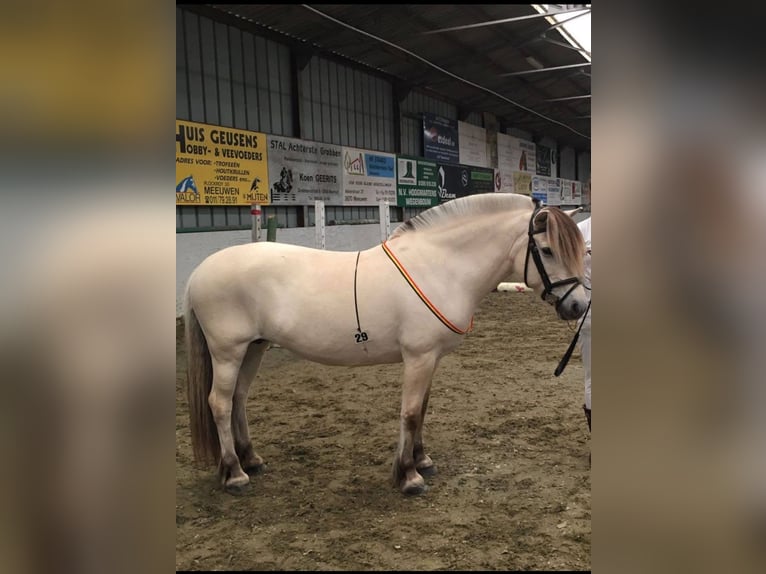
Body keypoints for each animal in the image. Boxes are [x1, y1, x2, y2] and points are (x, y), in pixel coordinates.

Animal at [184, 193, 588, 496]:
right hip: (229, 351)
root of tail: (199, 271)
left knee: (238, 399)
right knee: (220, 403)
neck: (440, 266)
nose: (578, 306)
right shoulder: (418, 357)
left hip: (254, 347)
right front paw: (408, 476)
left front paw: (422, 460)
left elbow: (422, 410)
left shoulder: (431, 359)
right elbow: (409, 413)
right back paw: (235, 473)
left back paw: (251, 459)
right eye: (547, 250)